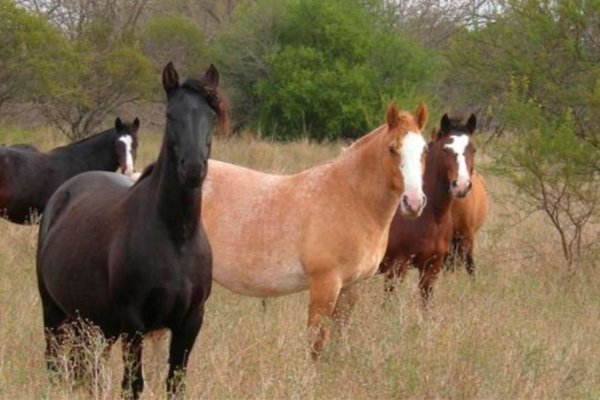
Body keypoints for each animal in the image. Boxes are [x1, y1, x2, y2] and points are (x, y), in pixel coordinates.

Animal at [37, 61, 225, 396]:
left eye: (212, 115)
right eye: (170, 115)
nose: (193, 169)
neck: (176, 237)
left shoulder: (190, 323)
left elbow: (175, 384)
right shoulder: (133, 323)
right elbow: (132, 385)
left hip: (92, 325)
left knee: (87, 371)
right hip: (55, 315)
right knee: (57, 366)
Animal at [204, 101, 428, 358]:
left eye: (424, 150)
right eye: (392, 149)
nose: (414, 202)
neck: (351, 198)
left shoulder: (351, 287)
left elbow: (341, 335)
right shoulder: (325, 285)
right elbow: (316, 342)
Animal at [382, 112, 476, 304]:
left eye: (474, 149)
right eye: (446, 149)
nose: (462, 185)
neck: (431, 216)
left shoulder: (431, 269)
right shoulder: (396, 268)